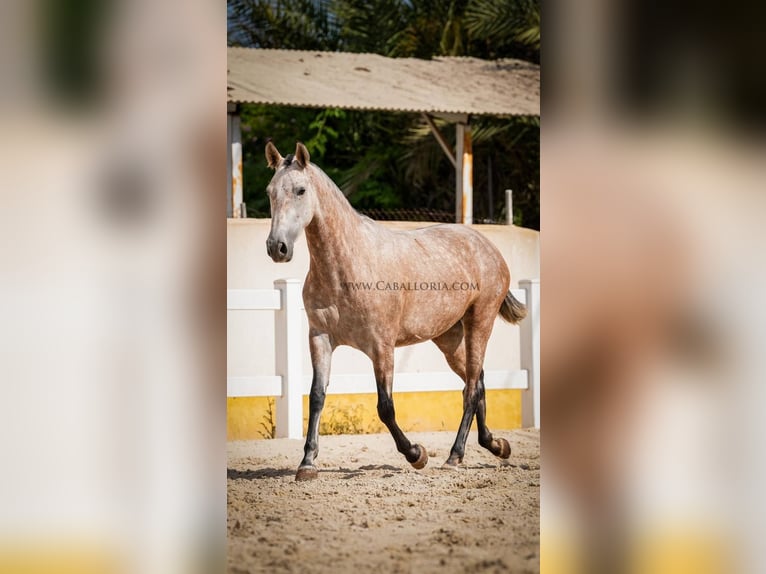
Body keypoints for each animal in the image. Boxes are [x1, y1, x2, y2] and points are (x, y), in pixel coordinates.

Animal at [264, 143, 528, 482]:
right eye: (271, 192)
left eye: (300, 190)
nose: (277, 248)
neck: (347, 266)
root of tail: (488, 246)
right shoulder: (320, 338)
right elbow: (317, 396)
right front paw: (307, 463)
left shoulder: (382, 346)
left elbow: (385, 406)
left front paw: (417, 454)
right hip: (449, 338)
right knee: (477, 381)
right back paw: (494, 445)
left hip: (480, 322)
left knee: (471, 388)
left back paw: (454, 456)